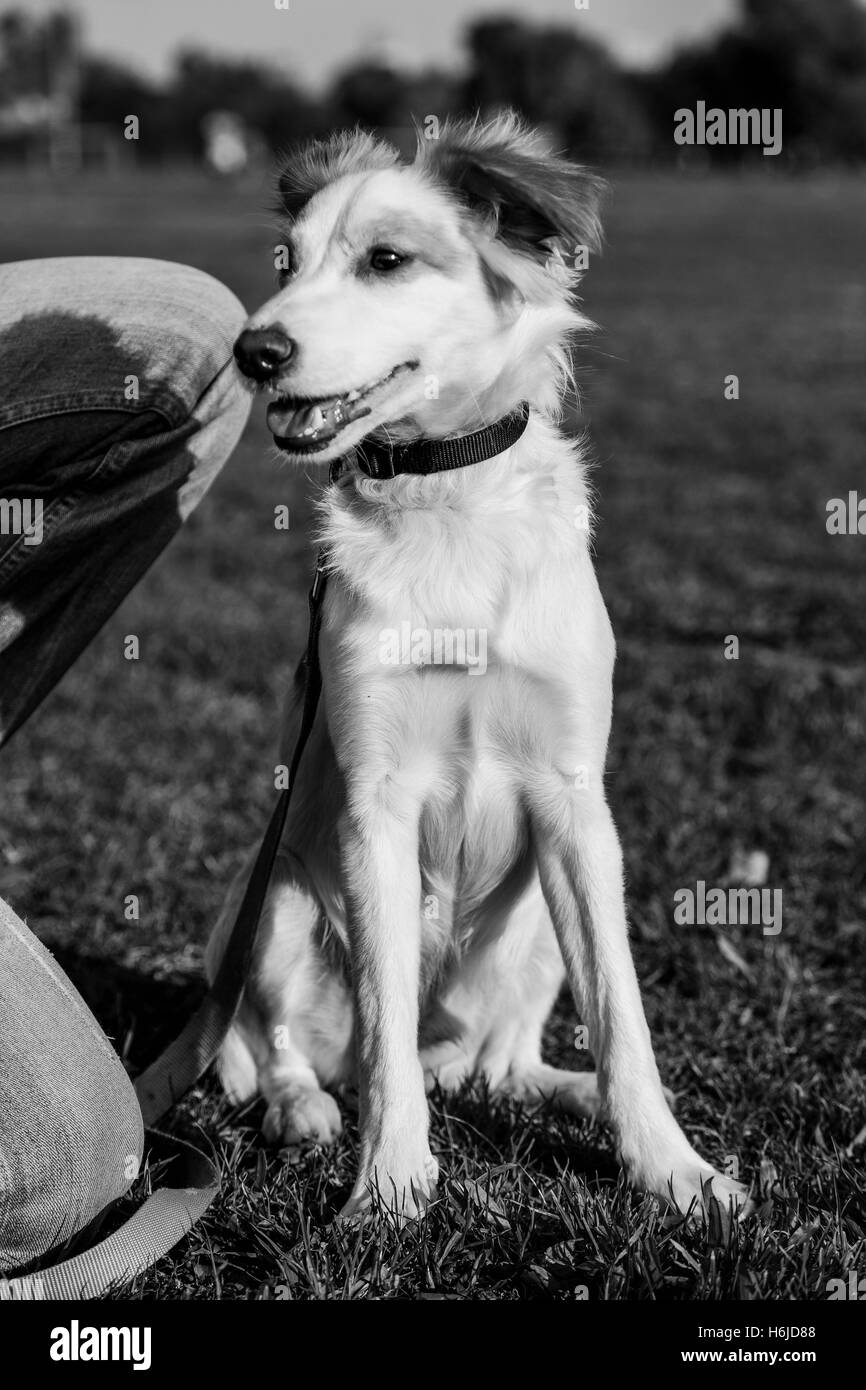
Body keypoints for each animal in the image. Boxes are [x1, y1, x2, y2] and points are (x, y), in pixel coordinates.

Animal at [204, 113, 750, 1217]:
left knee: (498, 1063)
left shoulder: (575, 804)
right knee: (297, 1051)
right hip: (272, 893)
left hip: (535, 920)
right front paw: (388, 1184)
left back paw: (562, 1092)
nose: (253, 351)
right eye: (286, 263)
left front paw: (672, 1167)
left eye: (385, 259)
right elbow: (385, 1036)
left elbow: (624, 1019)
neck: (442, 502)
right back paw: (306, 1110)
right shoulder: (373, 800)